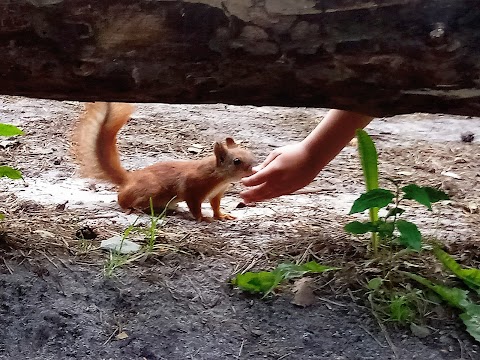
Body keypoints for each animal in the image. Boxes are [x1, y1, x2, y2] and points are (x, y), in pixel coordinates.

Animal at [73, 100, 255, 221]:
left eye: (250, 154)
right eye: (237, 161)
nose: (252, 170)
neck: (219, 177)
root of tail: (129, 179)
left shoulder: (216, 193)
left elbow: (215, 205)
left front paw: (221, 215)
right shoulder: (193, 187)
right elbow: (194, 205)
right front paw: (203, 218)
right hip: (151, 189)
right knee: (123, 200)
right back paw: (134, 209)